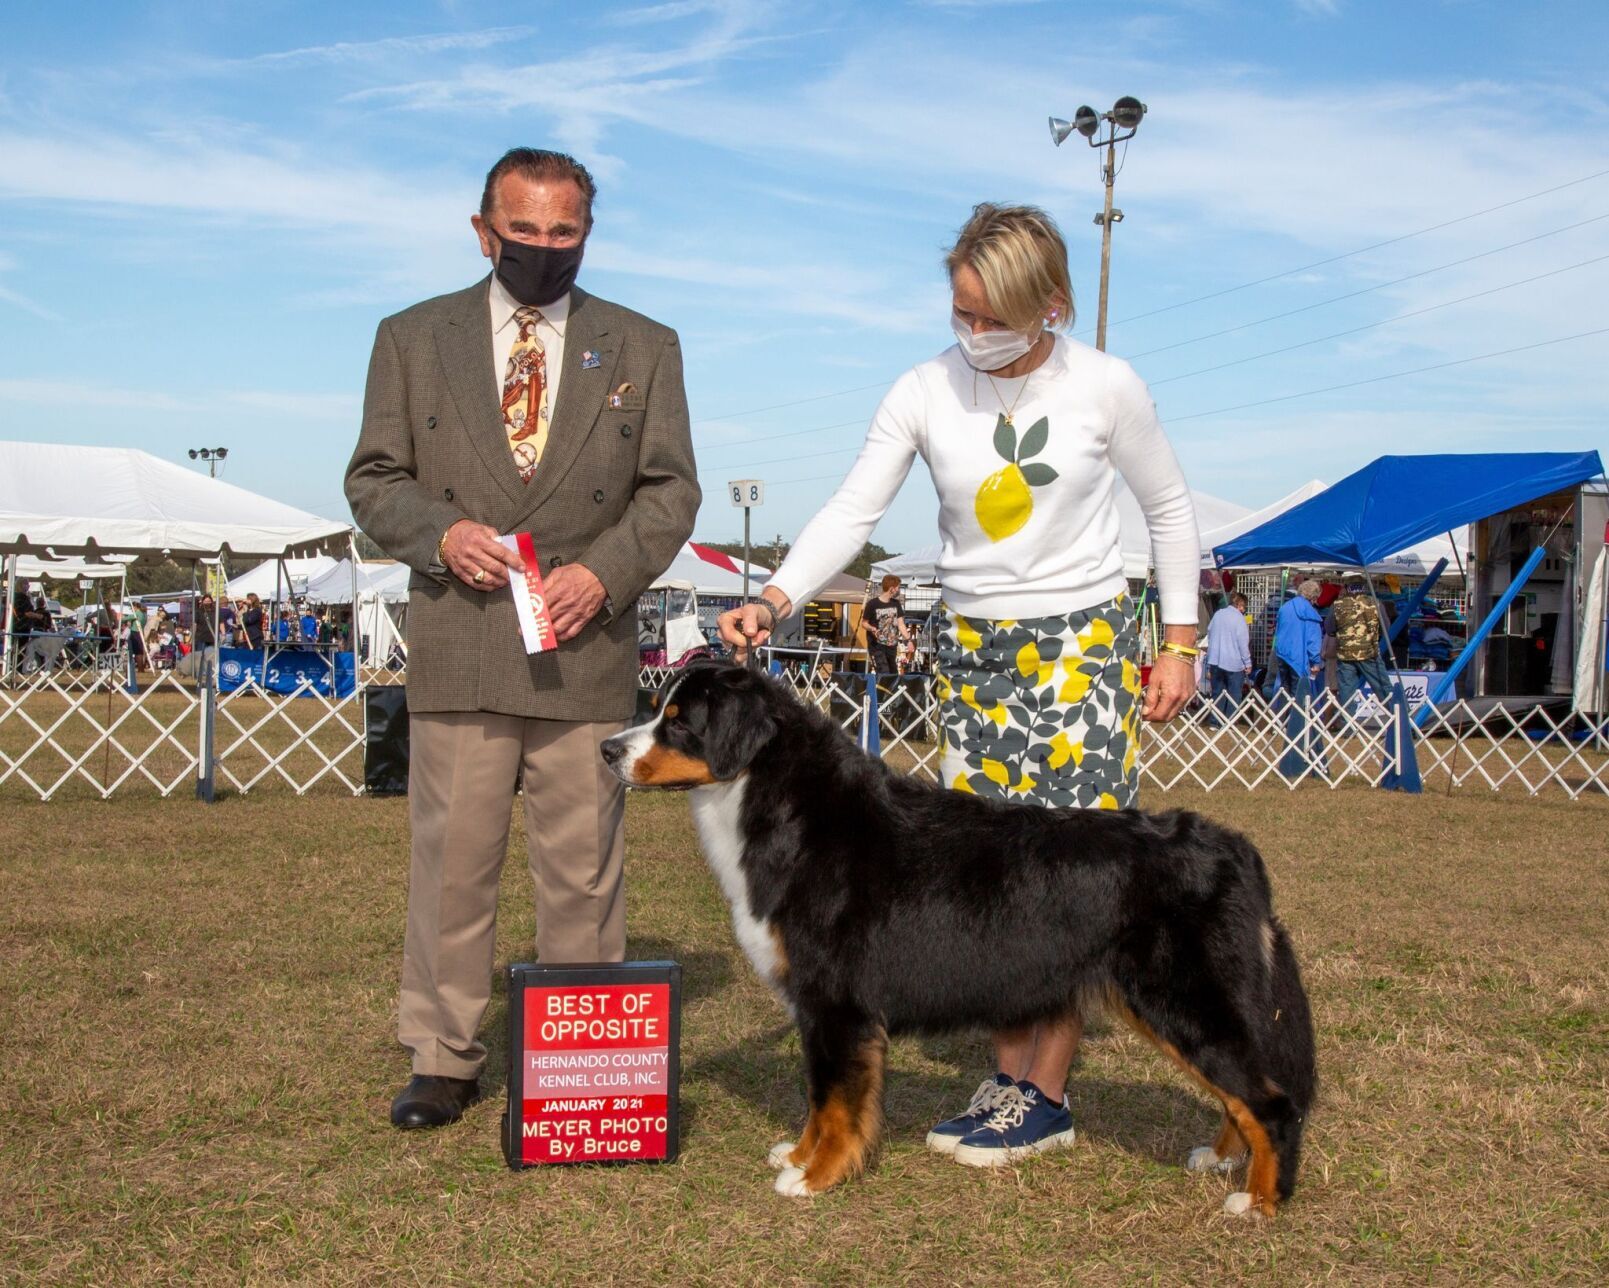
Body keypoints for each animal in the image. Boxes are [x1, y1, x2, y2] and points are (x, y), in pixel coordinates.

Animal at [598, 663, 1312, 1217]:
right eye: (658, 709)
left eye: (679, 722)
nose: (607, 749)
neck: (773, 802)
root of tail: (1231, 846)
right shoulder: (820, 1009)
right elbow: (820, 1099)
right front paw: (797, 1154)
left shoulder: (836, 1003)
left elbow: (835, 1101)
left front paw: (815, 1175)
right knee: (1241, 1096)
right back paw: (1220, 1159)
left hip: (1184, 1001)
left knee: (1270, 1101)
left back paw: (1260, 1199)